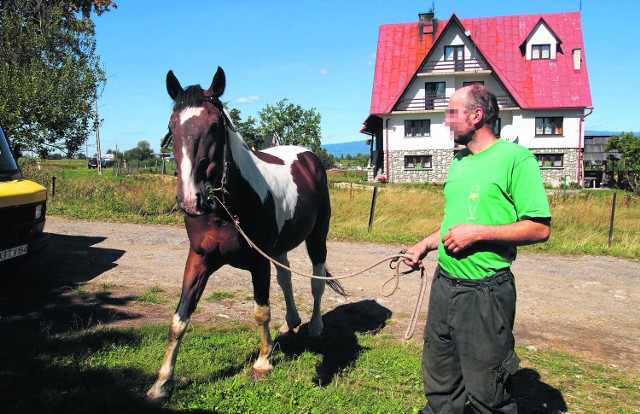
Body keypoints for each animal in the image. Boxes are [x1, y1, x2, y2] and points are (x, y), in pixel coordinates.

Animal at [148, 67, 344, 402]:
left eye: (215, 126)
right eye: (172, 126)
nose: (190, 199)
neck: (226, 209)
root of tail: (308, 157)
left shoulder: (258, 263)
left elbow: (261, 312)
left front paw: (263, 363)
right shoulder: (198, 260)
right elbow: (179, 319)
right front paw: (161, 383)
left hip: (317, 237)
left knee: (316, 281)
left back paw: (315, 327)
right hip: (280, 247)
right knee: (286, 277)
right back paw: (291, 322)